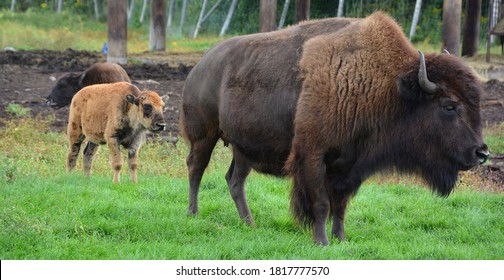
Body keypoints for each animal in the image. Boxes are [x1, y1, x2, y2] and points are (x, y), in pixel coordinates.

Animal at [180, 12, 488, 245]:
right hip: (204, 136)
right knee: (196, 168)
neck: (388, 87)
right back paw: (193, 214)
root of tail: (199, 67)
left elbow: (340, 206)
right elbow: (321, 203)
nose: (482, 153)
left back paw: (250, 224)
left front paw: (341, 239)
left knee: (235, 180)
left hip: (242, 147)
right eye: (449, 106)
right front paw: (322, 241)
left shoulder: (350, 165)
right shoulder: (313, 155)